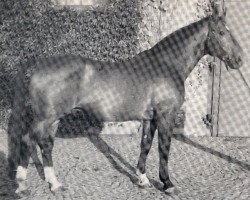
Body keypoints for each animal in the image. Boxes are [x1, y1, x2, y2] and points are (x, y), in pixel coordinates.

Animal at [7, 2, 242, 195]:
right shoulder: (166, 116)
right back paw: (22, 186)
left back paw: (55, 184)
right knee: (28, 141)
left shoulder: (150, 119)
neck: (166, 65)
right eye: (221, 32)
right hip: (45, 118)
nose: (239, 60)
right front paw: (168, 184)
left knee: (45, 146)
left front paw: (142, 179)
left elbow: (145, 145)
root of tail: (37, 63)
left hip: (53, 119)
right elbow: (164, 148)